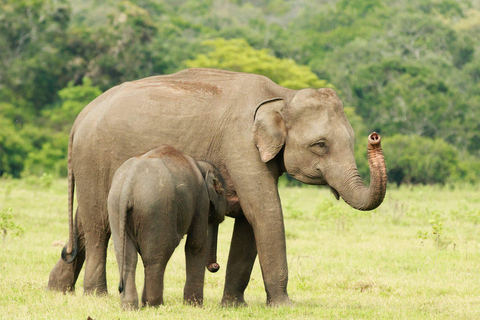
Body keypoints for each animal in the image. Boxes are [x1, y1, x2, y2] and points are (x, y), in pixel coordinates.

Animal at [108, 146, 228, 310]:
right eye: (221, 192)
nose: (216, 266)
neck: (201, 165)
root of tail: (128, 184)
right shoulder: (201, 199)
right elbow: (196, 245)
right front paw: (194, 305)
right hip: (156, 210)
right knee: (156, 256)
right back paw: (154, 305)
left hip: (116, 208)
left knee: (126, 257)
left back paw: (130, 307)